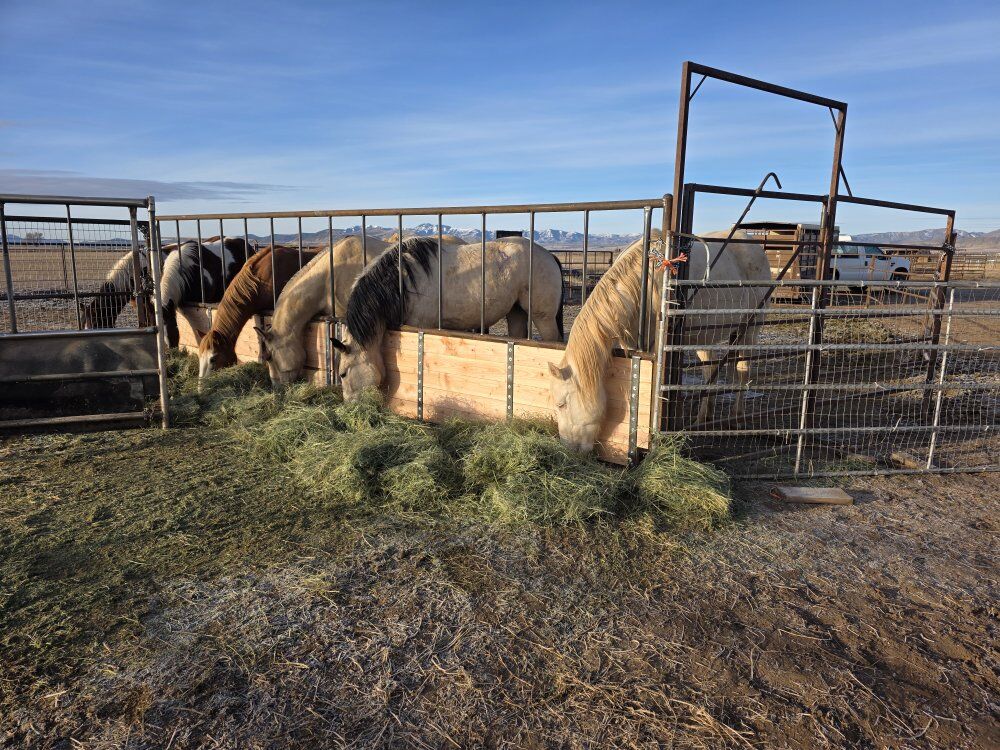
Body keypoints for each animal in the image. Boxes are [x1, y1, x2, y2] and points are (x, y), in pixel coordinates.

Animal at [314, 236, 564, 398]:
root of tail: (548, 255)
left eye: (343, 374)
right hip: (516, 313)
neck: (401, 282)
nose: (350, 407)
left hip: (543, 317)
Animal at [548, 229, 771, 454]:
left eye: (561, 404)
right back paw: (703, 417)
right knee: (711, 371)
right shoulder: (634, 345)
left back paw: (737, 418)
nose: (568, 448)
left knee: (743, 371)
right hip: (704, 336)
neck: (641, 287)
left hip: (749, 330)